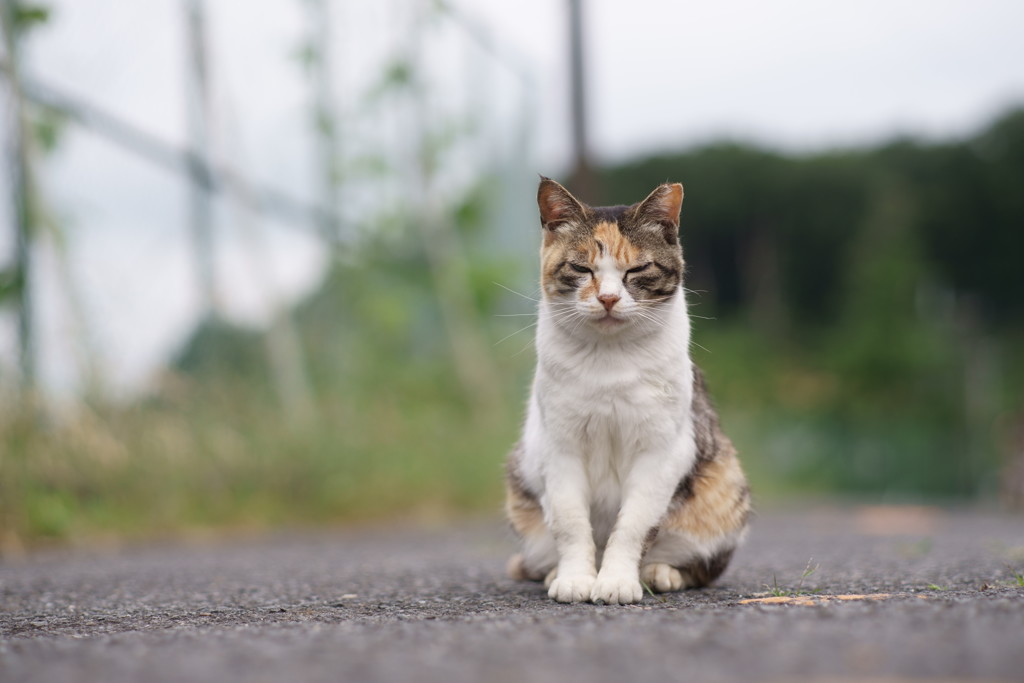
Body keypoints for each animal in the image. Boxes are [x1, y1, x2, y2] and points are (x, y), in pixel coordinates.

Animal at [505, 176, 753, 602]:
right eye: (581, 267)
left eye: (637, 268)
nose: (607, 297)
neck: (610, 361)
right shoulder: (560, 448)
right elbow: (571, 522)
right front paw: (575, 579)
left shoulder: (661, 450)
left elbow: (634, 525)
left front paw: (617, 581)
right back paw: (554, 573)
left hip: (723, 490)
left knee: (701, 566)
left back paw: (660, 573)